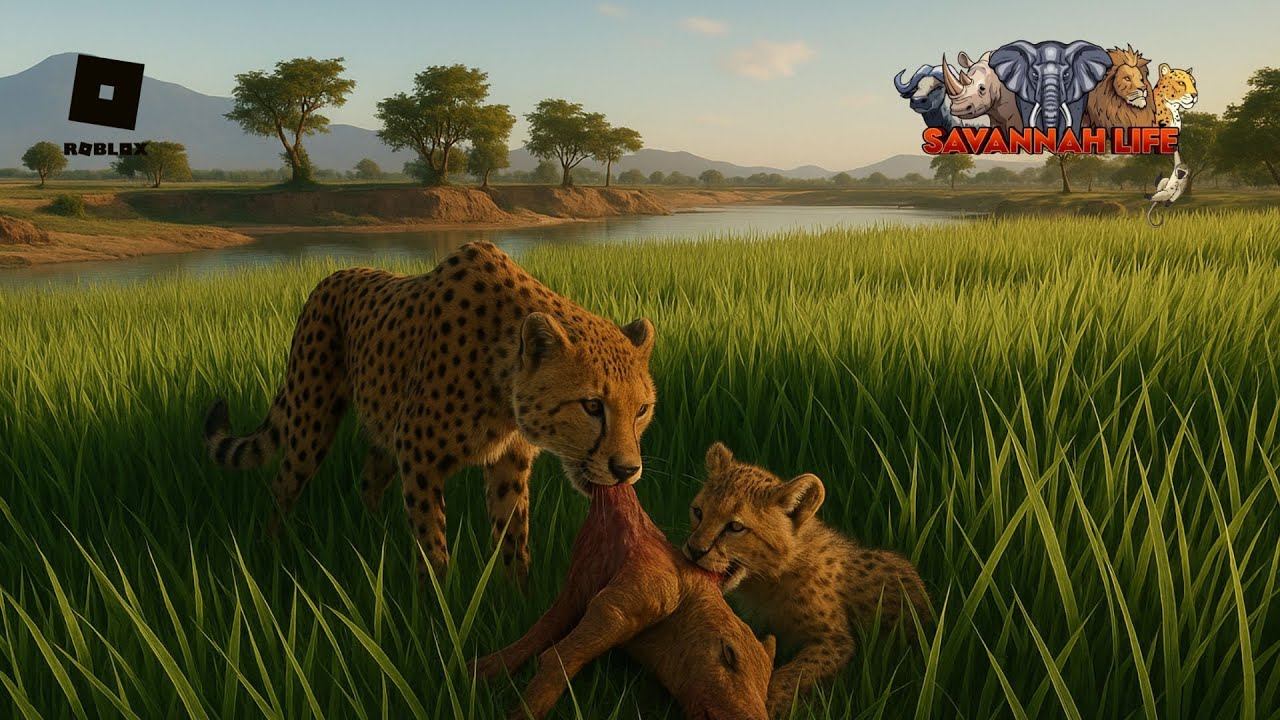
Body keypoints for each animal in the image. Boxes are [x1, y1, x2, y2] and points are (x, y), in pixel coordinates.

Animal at [202, 240, 658, 586]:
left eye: (642, 410)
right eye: (592, 406)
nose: (627, 470)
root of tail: (335, 274)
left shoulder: (507, 462)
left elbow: (513, 535)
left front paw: (517, 597)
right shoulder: (418, 457)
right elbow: (432, 544)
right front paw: (440, 614)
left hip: (383, 429)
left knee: (368, 480)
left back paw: (373, 534)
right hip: (311, 419)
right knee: (283, 484)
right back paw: (271, 550)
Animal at [683, 442, 931, 718]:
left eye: (735, 527)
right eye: (698, 512)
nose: (694, 550)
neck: (771, 577)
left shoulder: (835, 642)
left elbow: (790, 675)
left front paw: (765, 704)